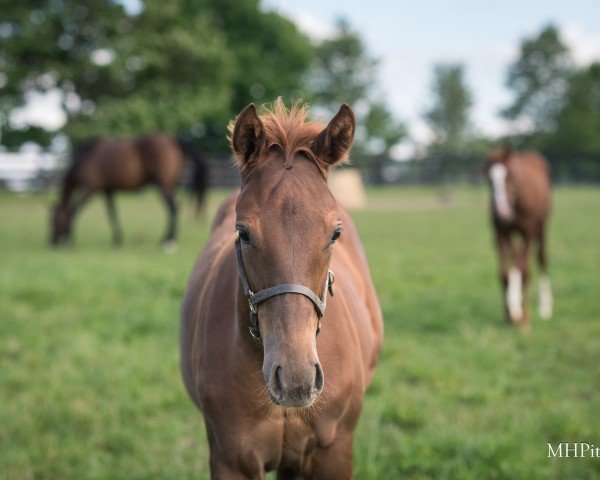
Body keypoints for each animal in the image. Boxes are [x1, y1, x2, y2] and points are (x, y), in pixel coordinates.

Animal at [49, 133, 209, 249]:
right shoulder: (108, 190)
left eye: (54, 220)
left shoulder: (90, 188)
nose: (51, 242)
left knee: (173, 208)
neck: (86, 157)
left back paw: (169, 241)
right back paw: (166, 238)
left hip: (163, 185)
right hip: (171, 185)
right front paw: (117, 240)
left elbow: (74, 210)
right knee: (174, 208)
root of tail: (174, 141)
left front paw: (70, 240)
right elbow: (112, 213)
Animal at [486, 144, 552, 328]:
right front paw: (509, 315)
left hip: (542, 228)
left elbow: (525, 271)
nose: (502, 212)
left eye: (511, 175)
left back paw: (545, 308)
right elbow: (504, 273)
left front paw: (524, 318)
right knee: (516, 258)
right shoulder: (501, 234)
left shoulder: (528, 232)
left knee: (541, 259)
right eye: (489, 180)